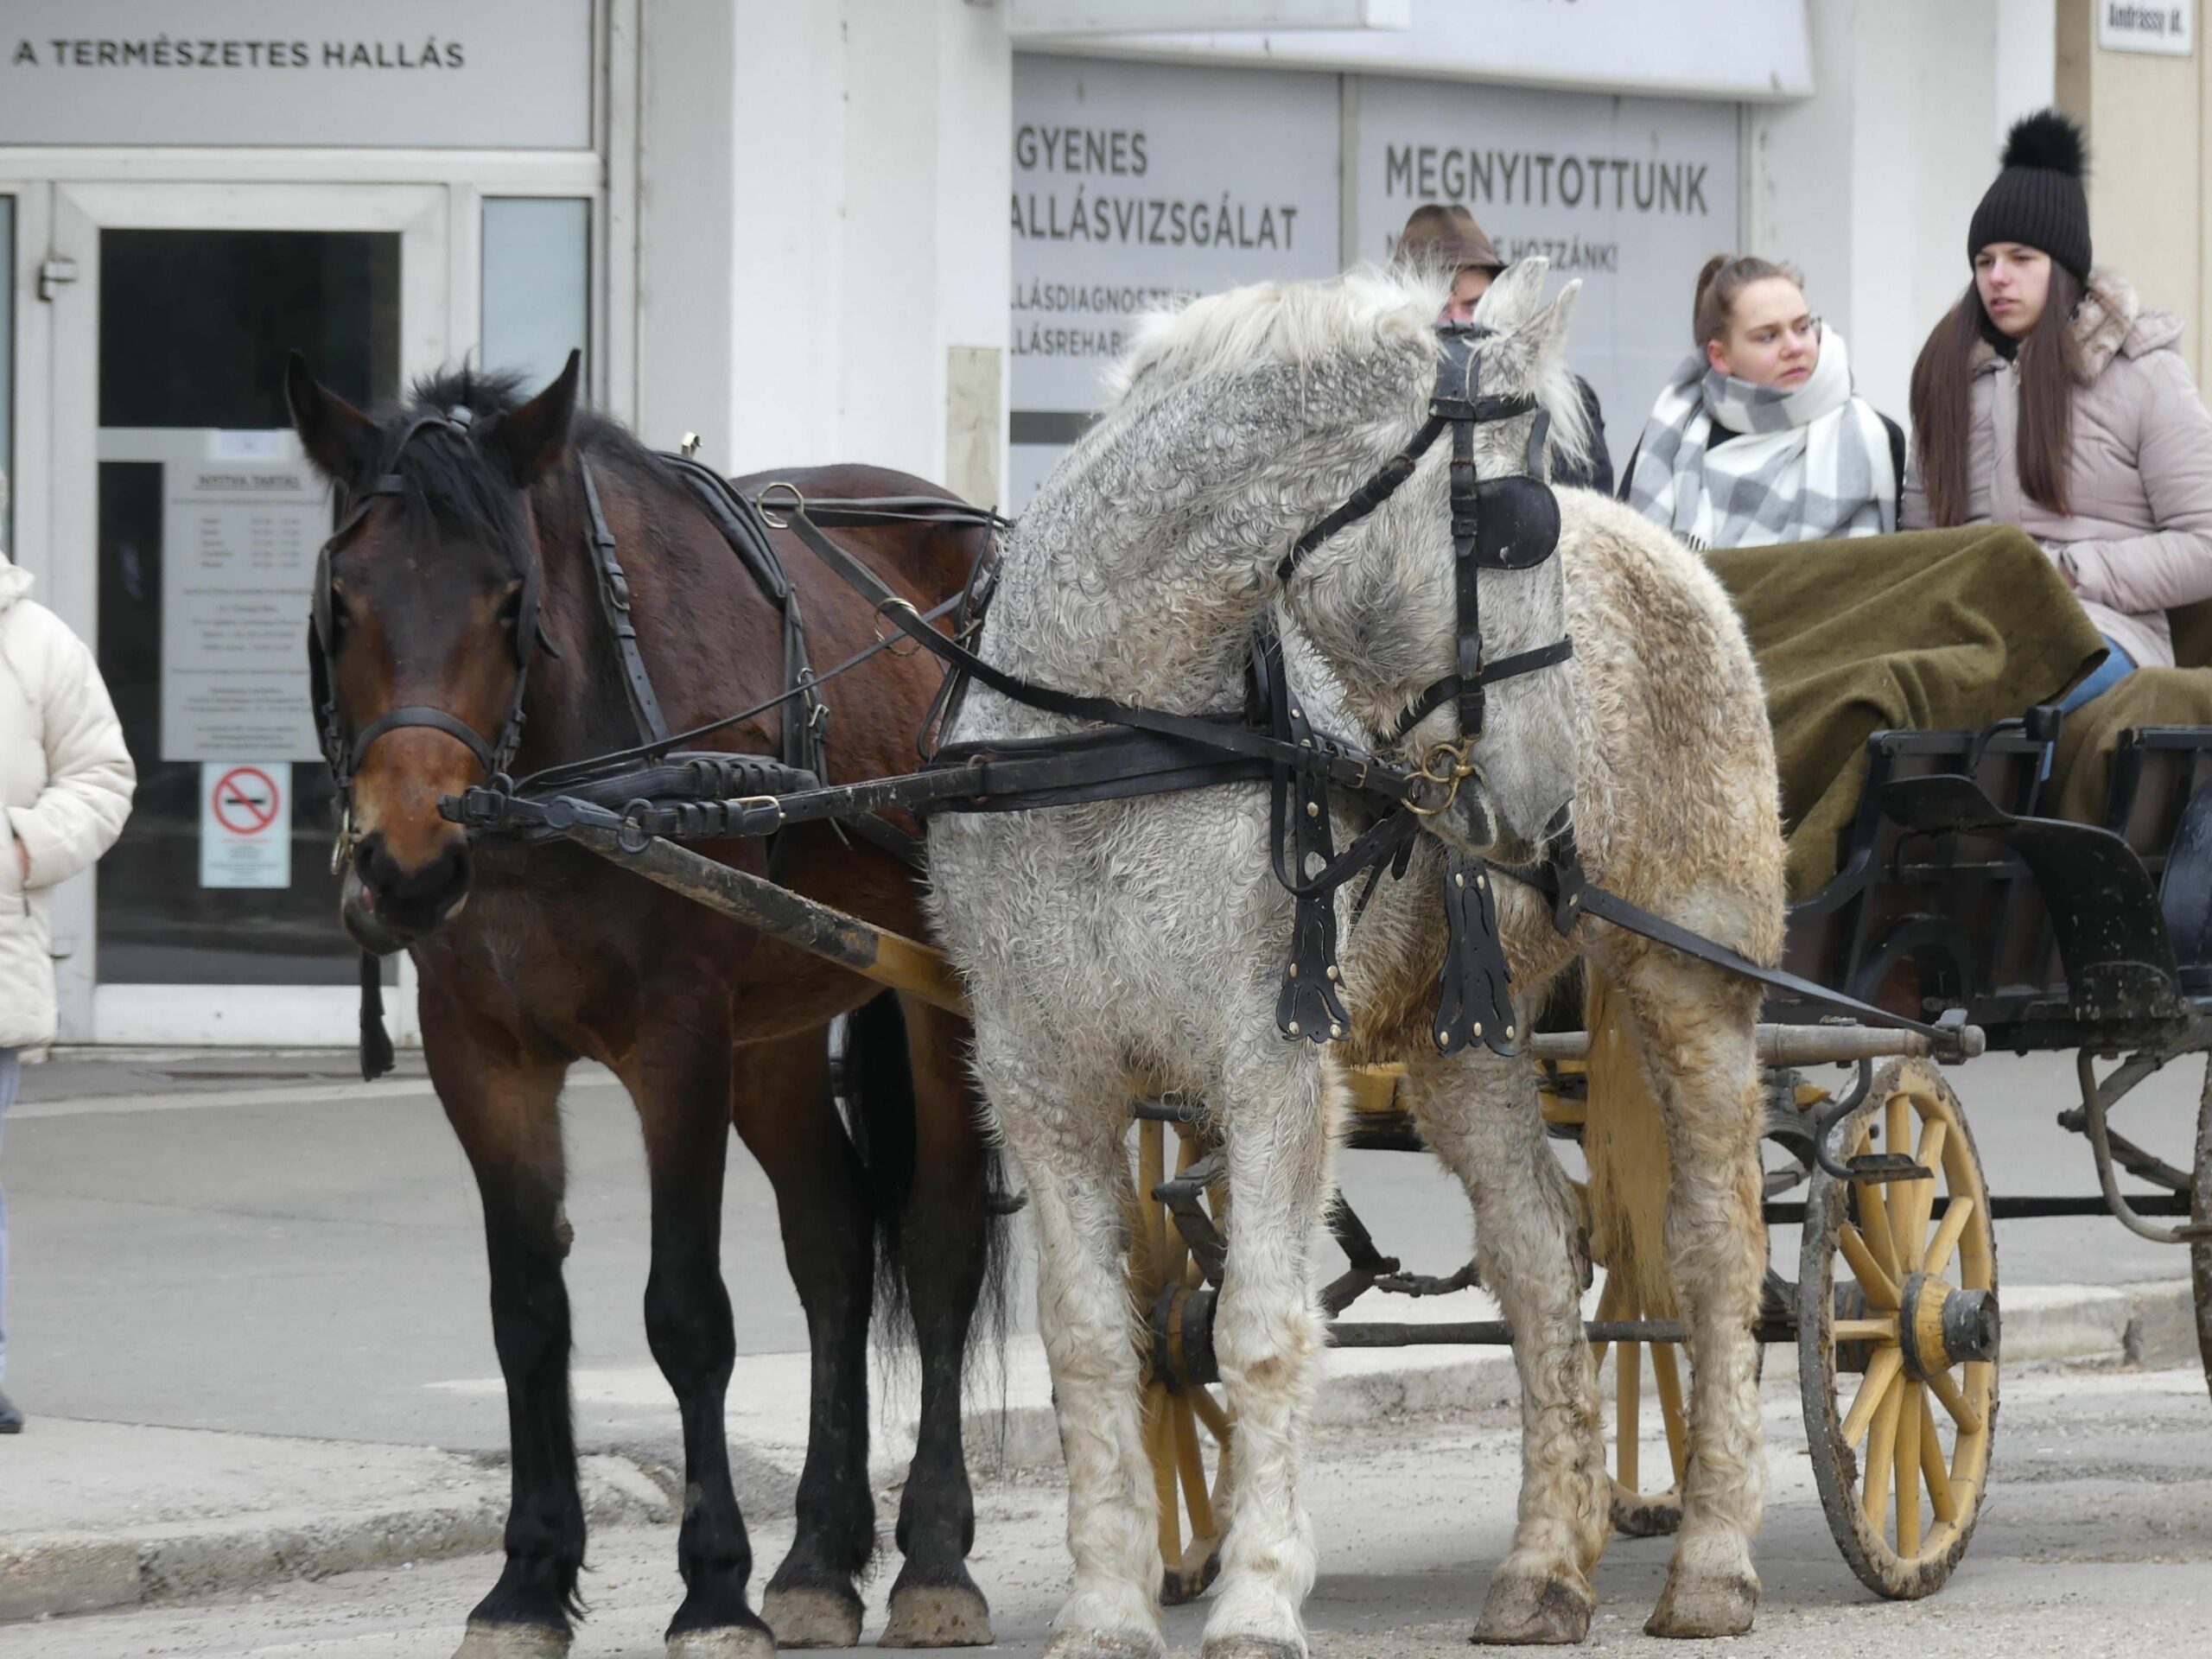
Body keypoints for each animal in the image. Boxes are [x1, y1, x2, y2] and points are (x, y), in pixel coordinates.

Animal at [283, 353, 1004, 1659]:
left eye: (508, 600)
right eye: (344, 600)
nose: (406, 866)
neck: (559, 791)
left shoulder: (679, 1047)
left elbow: (687, 1315)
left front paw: (711, 1588)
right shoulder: (483, 1058)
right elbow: (527, 1313)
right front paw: (526, 1581)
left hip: (941, 997)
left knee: (937, 1241)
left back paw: (932, 1556)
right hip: (777, 1027)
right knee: (832, 1248)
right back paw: (818, 1559)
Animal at [925, 259, 1787, 1654]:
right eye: (1521, 526)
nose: (1547, 809)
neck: (1114, 729)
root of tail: (1672, 549)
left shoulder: (1269, 1057)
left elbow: (1260, 1328)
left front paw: (1258, 1595)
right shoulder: (1035, 1068)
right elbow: (1094, 1341)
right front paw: (1108, 1607)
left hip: (1693, 980)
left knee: (1717, 1250)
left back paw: (1713, 1556)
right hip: (1461, 1038)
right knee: (1541, 1257)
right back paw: (1546, 1567)